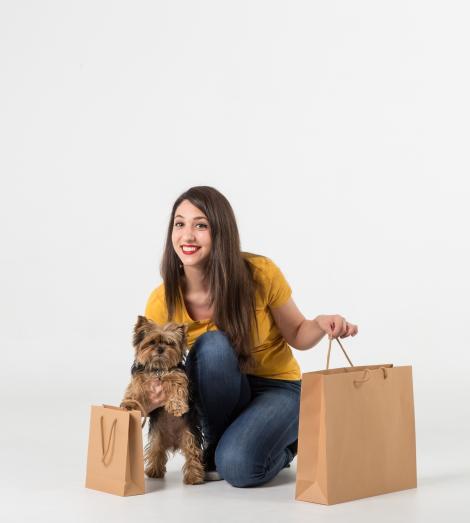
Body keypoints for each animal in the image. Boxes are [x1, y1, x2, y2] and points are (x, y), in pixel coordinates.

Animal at [121, 314, 204, 486]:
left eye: (169, 343)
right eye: (152, 342)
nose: (160, 349)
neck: (159, 368)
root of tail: (174, 442)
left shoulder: (177, 375)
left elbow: (177, 387)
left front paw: (177, 407)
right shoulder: (141, 375)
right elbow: (135, 387)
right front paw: (130, 403)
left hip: (189, 434)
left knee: (192, 453)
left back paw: (194, 477)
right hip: (157, 438)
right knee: (156, 452)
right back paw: (154, 471)